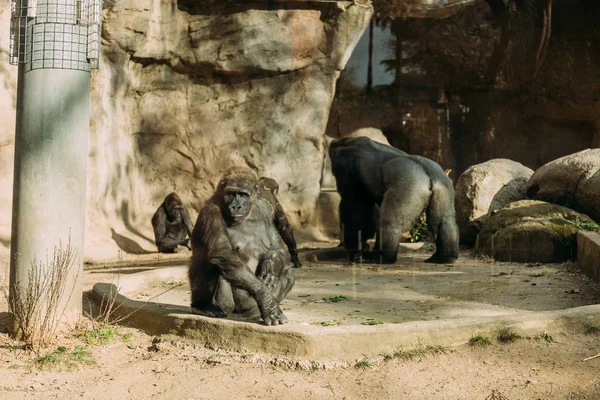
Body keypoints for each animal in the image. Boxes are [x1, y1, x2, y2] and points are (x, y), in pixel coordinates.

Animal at [188, 166, 296, 324]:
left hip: (248, 307)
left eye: (243, 194)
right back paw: (204, 306)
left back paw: (254, 314)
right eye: (232, 194)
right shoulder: (211, 211)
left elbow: (277, 246)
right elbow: (222, 253)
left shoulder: (265, 208)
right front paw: (267, 301)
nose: (236, 205)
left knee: (288, 271)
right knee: (214, 261)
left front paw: (271, 265)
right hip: (228, 307)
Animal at [328, 136, 460, 264]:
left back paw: (383, 257)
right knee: (444, 221)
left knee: (390, 221)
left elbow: (354, 206)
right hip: (442, 183)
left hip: (410, 184)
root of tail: (428, 174)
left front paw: (355, 250)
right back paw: (445, 257)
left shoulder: (345, 165)